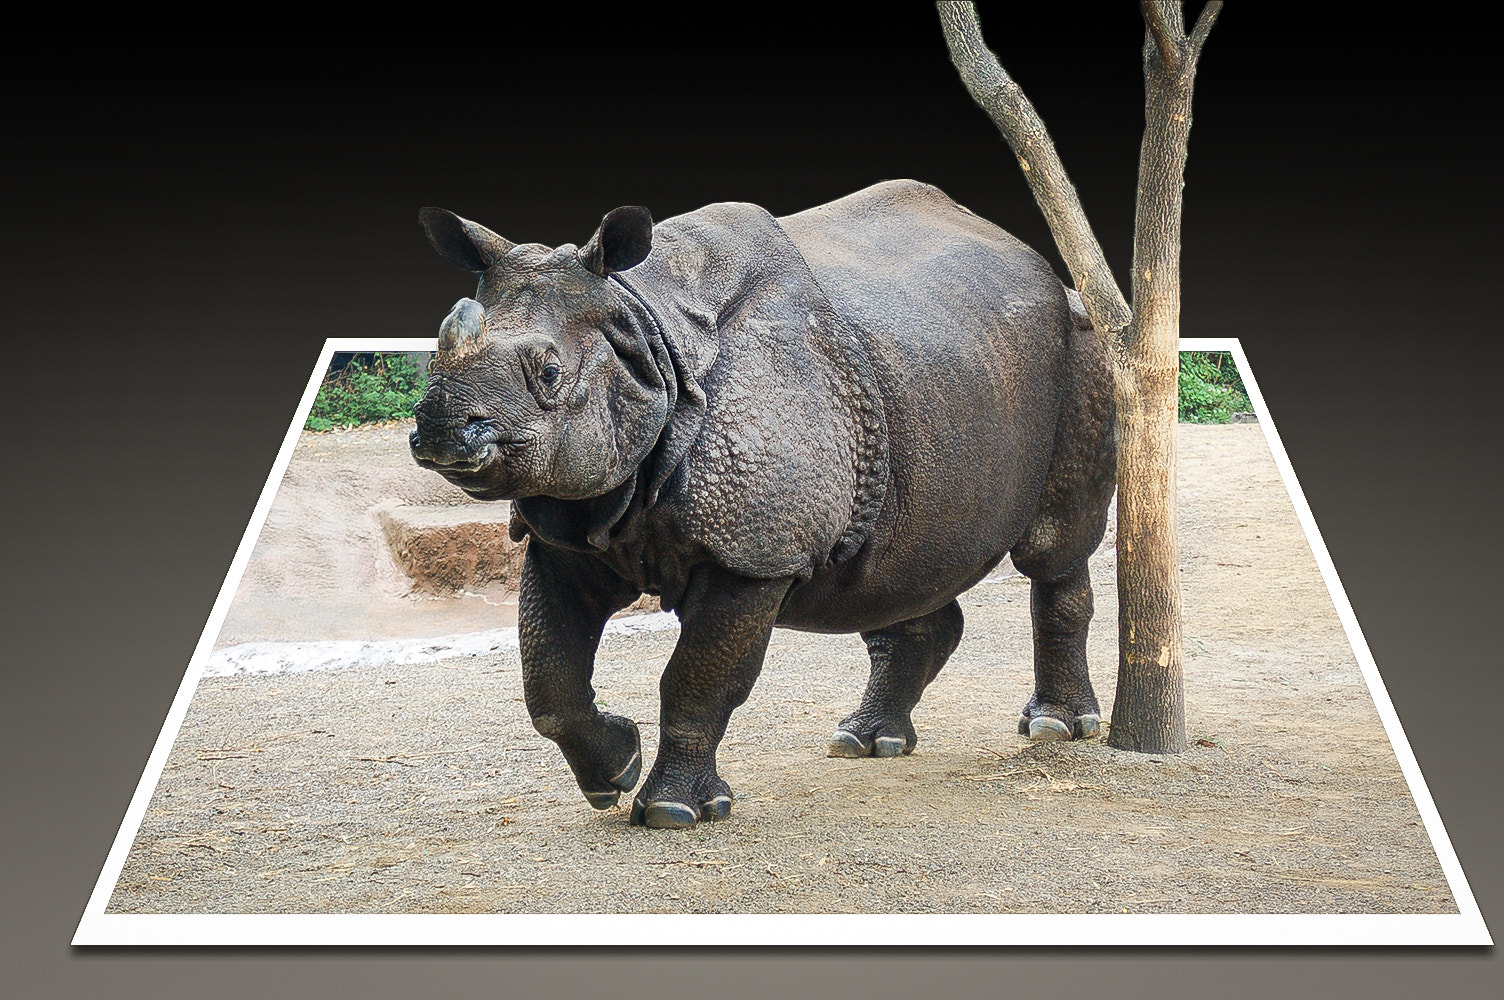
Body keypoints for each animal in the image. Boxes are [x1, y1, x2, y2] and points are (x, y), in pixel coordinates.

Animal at [409, 179, 1116, 829]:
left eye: (550, 373)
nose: (441, 430)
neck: (647, 331)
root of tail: (1039, 262)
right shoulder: (568, 527)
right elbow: (548, 679)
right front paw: (613, 773)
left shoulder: (753, 554)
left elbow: (698, 677)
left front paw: (673, 812)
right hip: (936, 381)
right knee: (895, 567)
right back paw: (865, 741)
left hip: (1079, 345)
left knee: (1052, 550)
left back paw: (1056, 728)